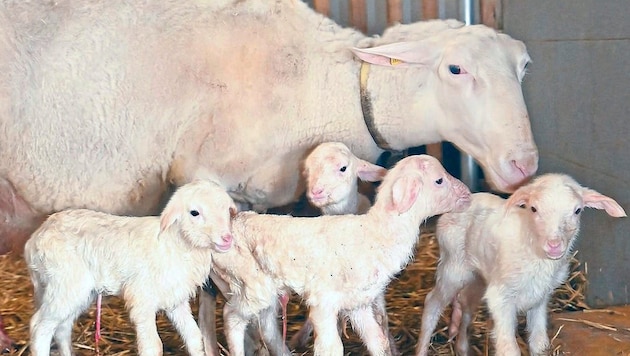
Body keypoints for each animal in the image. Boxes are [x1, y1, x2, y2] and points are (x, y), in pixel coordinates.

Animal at [23, 181, 238, 356]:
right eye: (194, 212)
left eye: (227, 211)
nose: (227, 239)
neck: (176, 244)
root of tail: (34, 239)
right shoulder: (141, 299)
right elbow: (152, 346)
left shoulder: (175, 299)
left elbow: (194, 337)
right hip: (65, 283)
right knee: (39, 327)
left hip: (79, 291)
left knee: (62, 327)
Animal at [212, 155, 474, 356]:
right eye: (439, 180)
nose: (468, 195)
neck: (375, 233)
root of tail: (233, 221)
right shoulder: (323, 302)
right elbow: (331, 349)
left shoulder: (357, 304)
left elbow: (378, 341)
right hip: (250, 283)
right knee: (231, 316)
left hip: (267, 288)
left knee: (267, 327)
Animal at [418, 173, 628, 356]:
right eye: (533, 208)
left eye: (577, 210)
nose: (554, 245)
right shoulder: (500, 298)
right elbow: (509, 349)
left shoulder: (540, 298)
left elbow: (539, 343)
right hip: (453, 265)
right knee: (433, 303)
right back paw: (422, 348)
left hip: (478, 275)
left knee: (466, 302)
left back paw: (462, 348)